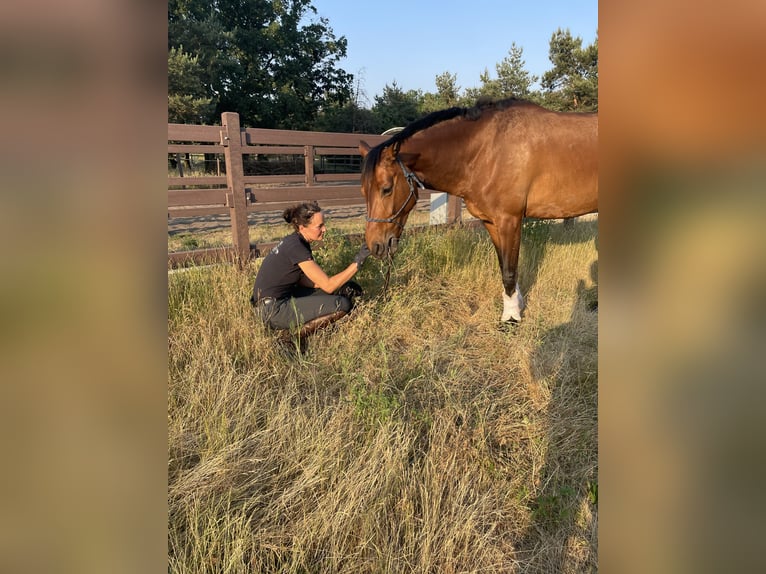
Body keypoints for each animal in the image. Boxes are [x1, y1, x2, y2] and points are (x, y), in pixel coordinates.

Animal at [360, 98, 600, 324]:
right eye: (363, 190)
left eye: (386, 189)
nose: (375, 246)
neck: (487, 150)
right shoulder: (491, 222)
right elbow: (504, 265)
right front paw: (516, 305)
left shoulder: (509, 220)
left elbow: (509, 271)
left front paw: (511, 318)